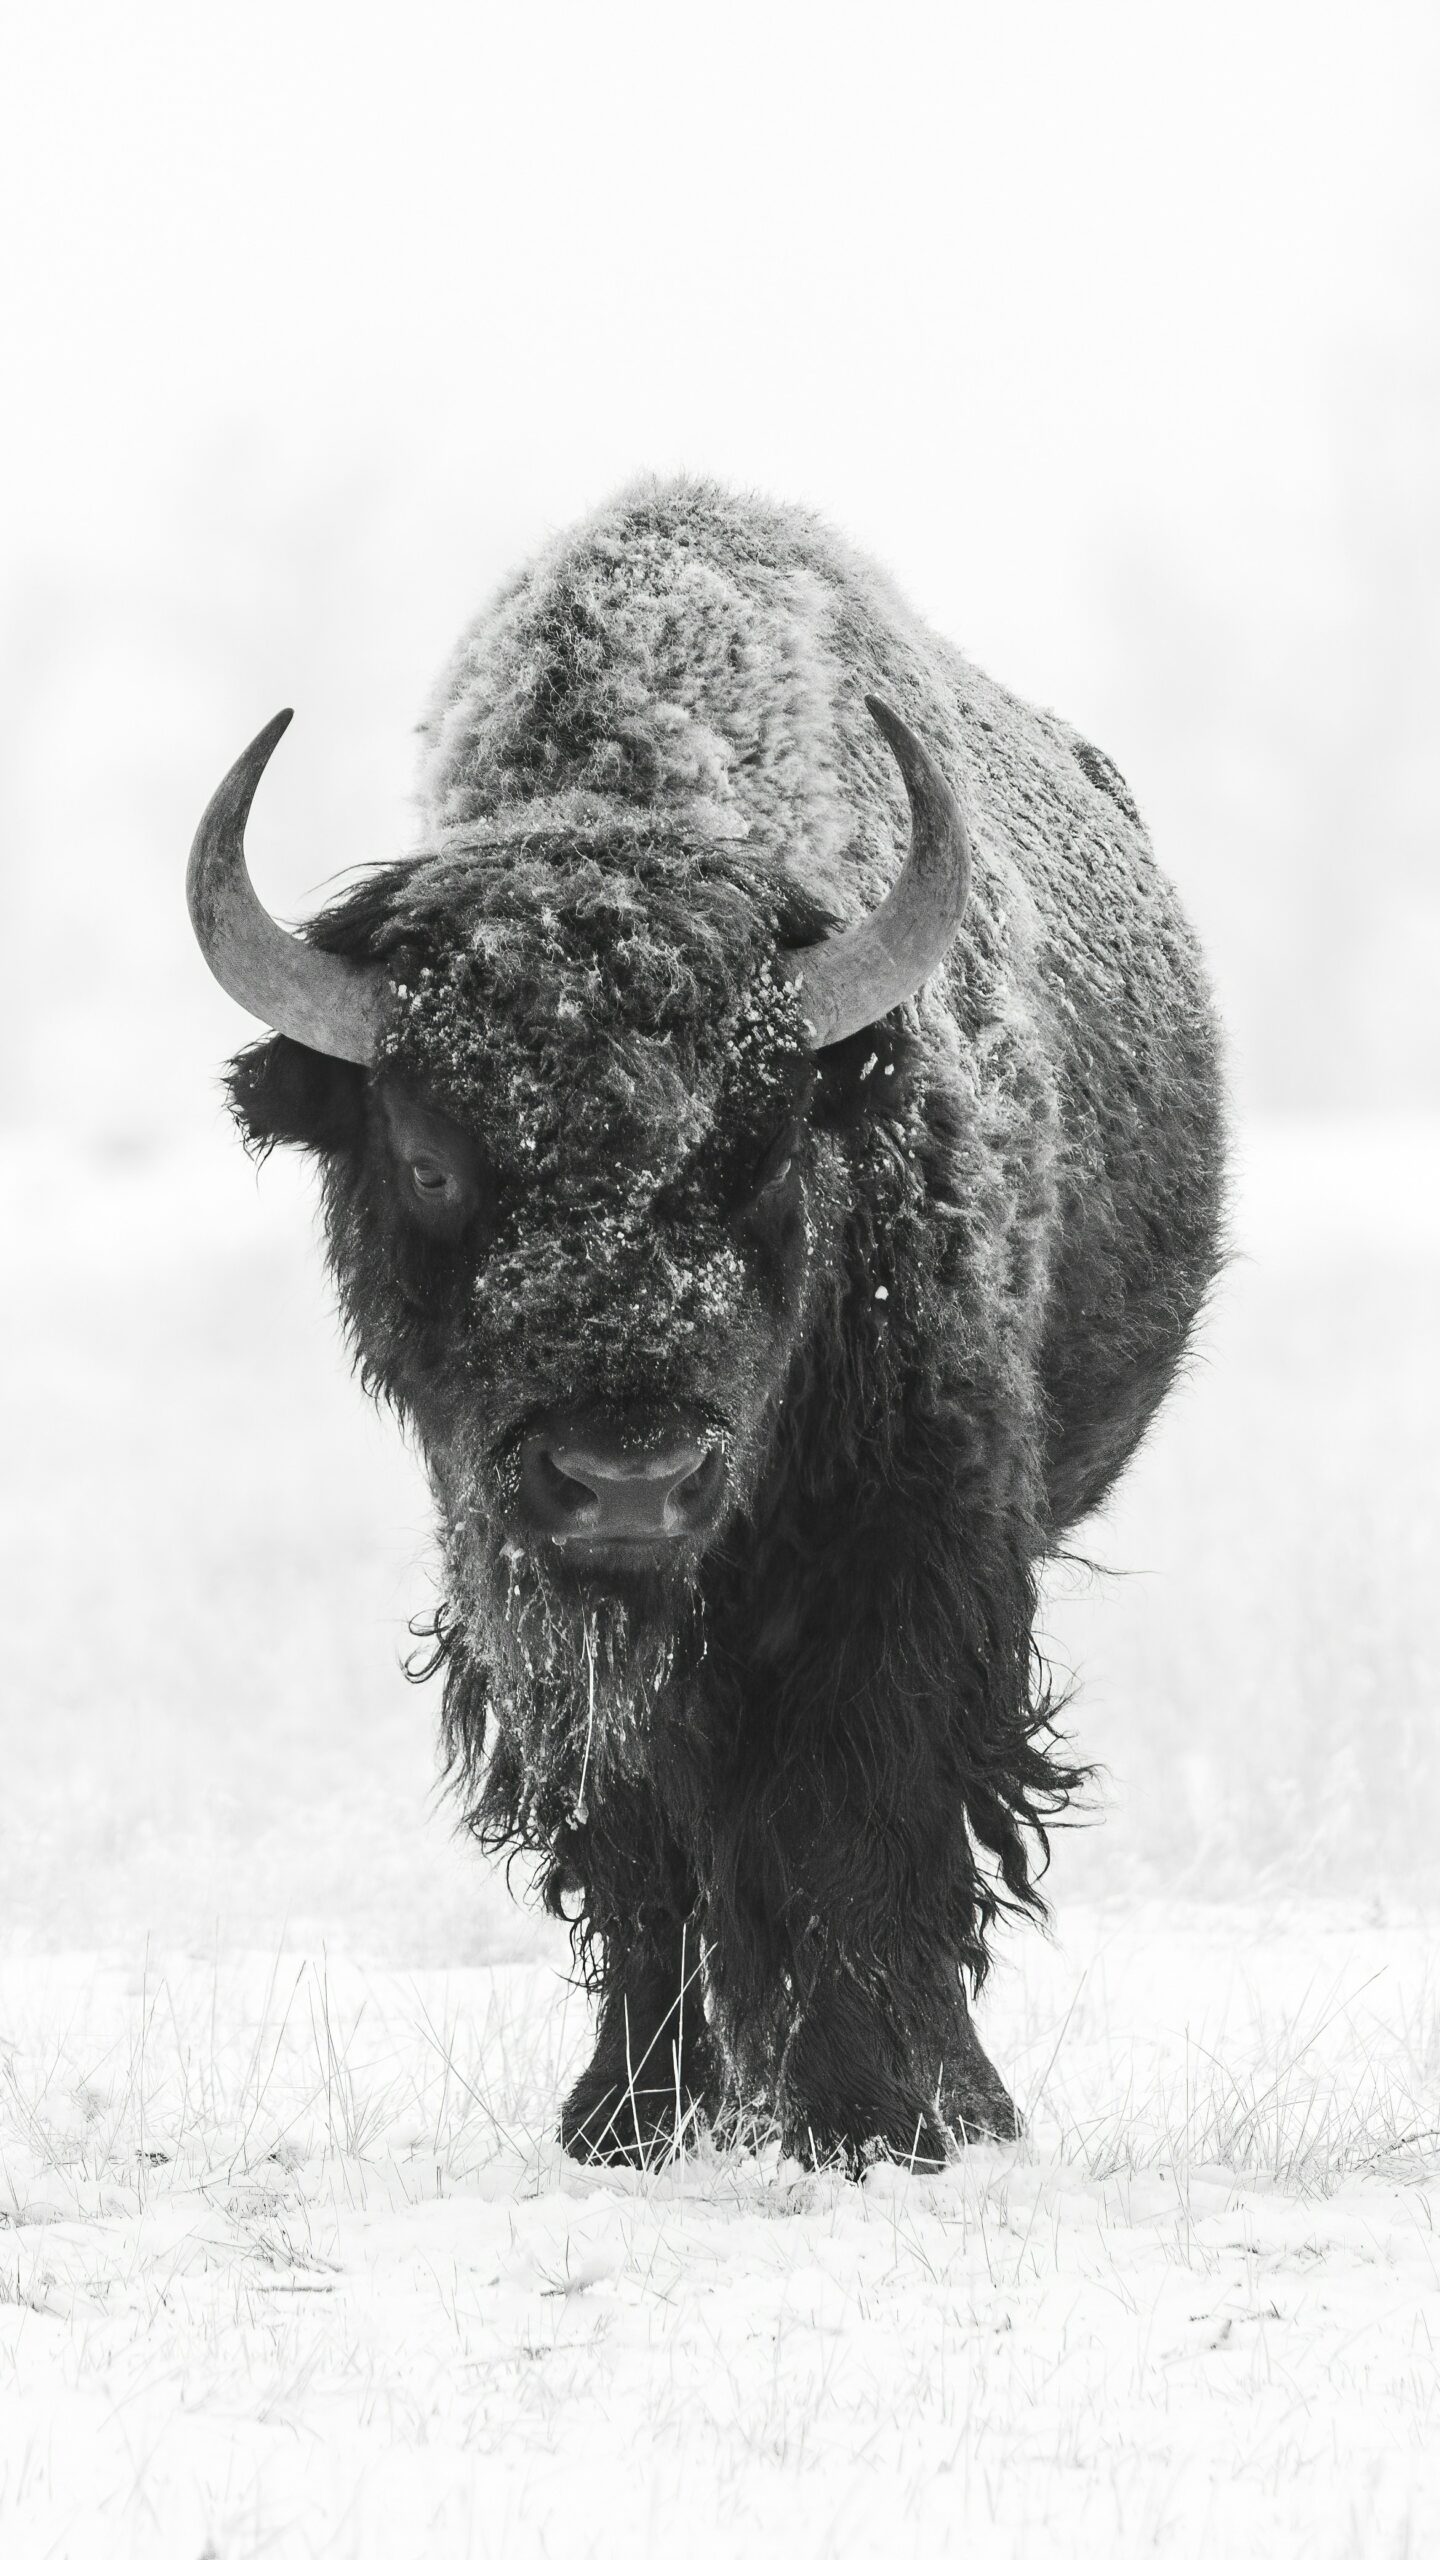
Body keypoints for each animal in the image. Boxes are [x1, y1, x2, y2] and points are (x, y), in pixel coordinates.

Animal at [188, 479, 1226, 2169]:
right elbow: (639, 1830)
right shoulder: (521, 1576)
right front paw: (630, 2115)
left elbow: (869, 1811)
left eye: (765, 1145)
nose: (628, 1479)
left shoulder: (917, 1542)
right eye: (429, 1159)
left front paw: (901, 2117)